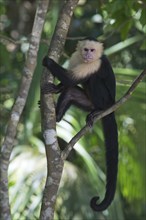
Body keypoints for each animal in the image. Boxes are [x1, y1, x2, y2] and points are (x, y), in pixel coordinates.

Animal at [41, 37, 118, 212]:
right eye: (85, 49)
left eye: (92, 50)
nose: (88, 55)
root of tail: (112, 106)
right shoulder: (76, 57)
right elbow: (68, 82)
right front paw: (56, 88)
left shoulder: (95, 63)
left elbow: (71, 78)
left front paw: (48, 61)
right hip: (87, 102)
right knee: (70, 92)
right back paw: (57, 116)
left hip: (106, 100)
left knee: (94, 79)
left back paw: (99, 110)